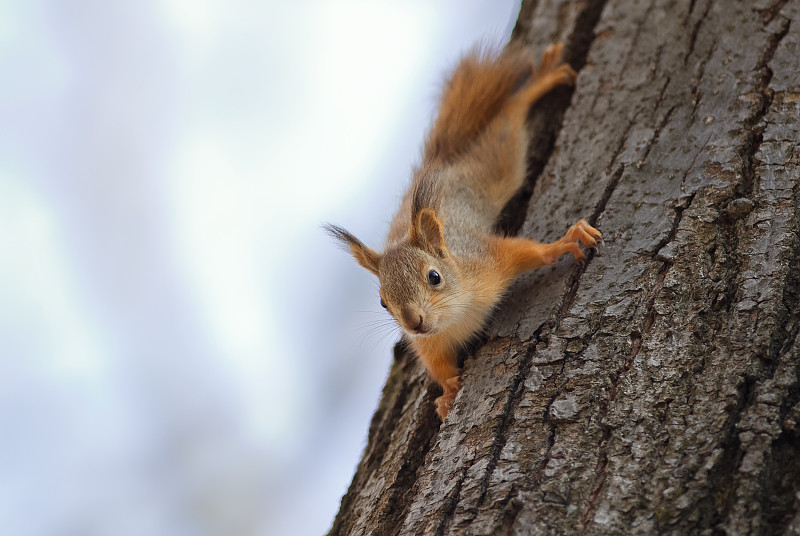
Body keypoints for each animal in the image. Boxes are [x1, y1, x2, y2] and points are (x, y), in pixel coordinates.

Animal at [324, 42, 600, 420]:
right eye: (382, 302)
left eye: (434, 277)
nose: (414, 322)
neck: (453, 318)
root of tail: (444, 161)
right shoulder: (429, 344)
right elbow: (438, 366)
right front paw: (447, 392)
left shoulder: (484, 261)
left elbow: (526, 252)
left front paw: (563, 242)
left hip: (494, 167)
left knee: (506, 124)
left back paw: (540, 81)